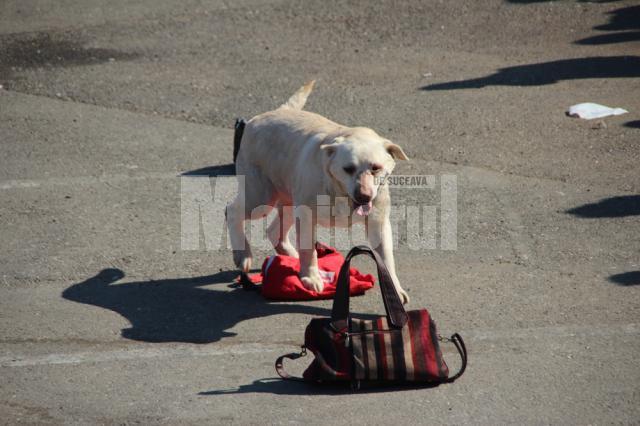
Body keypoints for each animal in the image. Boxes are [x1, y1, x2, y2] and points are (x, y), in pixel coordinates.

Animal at [228, 80, 410, 302]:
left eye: (375, 168)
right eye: (348, 168)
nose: (364, 196)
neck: (340, 192)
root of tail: (270, 113)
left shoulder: (379, 223)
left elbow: (387, 259)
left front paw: (395, 290)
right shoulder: (307, 216)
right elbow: (309, 249)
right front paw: (310, 277)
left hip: (288, 198)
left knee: (274, 231)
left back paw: (290, 257)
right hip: (261, 197)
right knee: (232, 211)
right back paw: (243, 254)